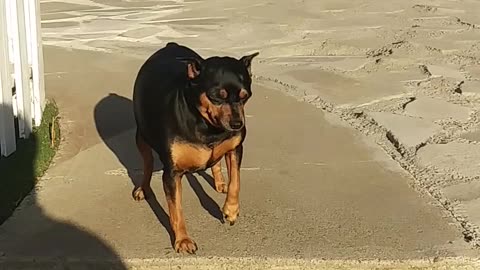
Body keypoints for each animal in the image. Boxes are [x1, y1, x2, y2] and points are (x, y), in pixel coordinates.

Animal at [131, 42, 258, 253]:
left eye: (245, 96)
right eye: (216, 97)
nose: (237, 124)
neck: (209, 128)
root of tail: (171, 45)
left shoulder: (236, 148)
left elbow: (236, 180)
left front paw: (231, 210)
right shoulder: (172, 173)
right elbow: (176, 210)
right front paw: (182, 240)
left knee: (216, 162)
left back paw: (219, 182)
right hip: (142, 136)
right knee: (147, 162)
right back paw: (143, 188)